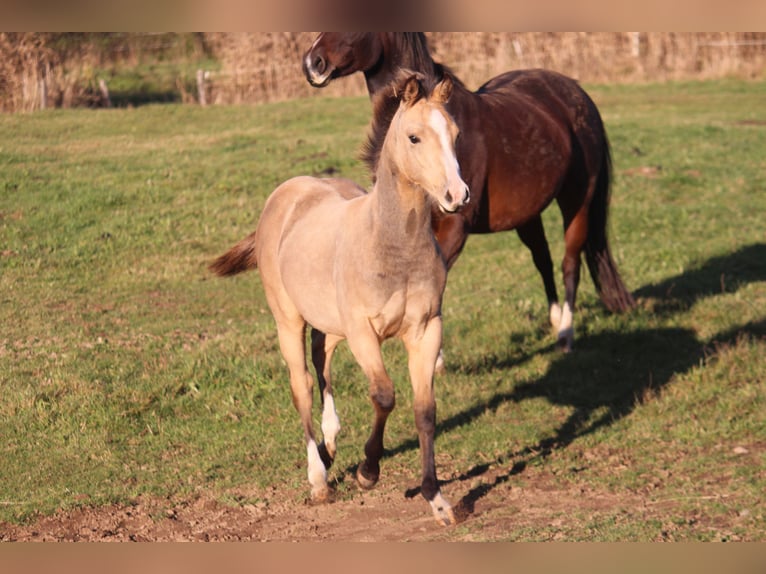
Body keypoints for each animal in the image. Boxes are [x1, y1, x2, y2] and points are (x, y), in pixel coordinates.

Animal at [213, 72, 472, 528]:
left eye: (455, 134)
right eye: (414, 137)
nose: (457, 195)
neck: (392, 247)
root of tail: (285, 194)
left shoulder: (426, 330)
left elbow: (425, 411)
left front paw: (437, 500)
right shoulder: (363, 332)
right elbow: (384, 395)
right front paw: (368, 472)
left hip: (329, 324)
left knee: (323, 362)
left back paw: (330, 444)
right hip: (289, 321)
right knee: (302, 384)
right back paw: (319, 478)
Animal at [304, 35, 636, 356]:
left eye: (456, 135)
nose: (312, 63)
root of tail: (576, 91)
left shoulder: (454, 229)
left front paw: (434, 356)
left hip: (577, 200)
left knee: (570, 261)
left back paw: (566, 334)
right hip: (528, 214)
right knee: (542, 258)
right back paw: (555, 322)